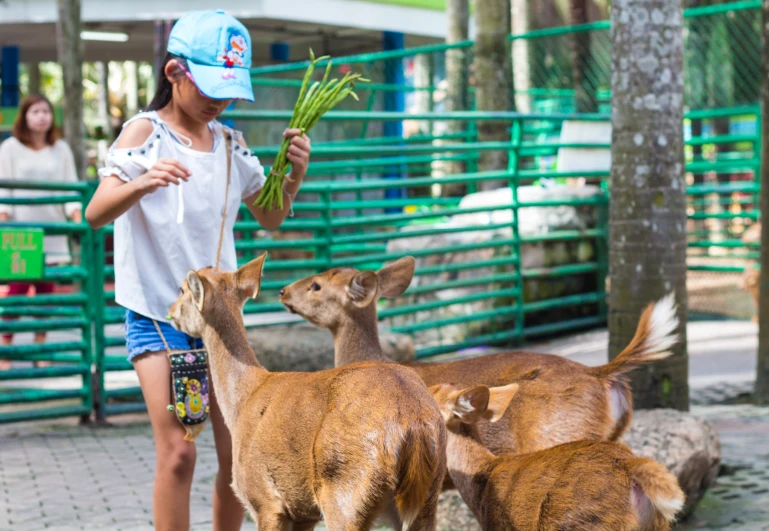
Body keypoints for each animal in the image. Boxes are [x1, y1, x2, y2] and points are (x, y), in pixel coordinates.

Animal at [166, 255, 444, 531]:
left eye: (182, 289)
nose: (169, 312)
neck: (243, 399)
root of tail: (414, 425)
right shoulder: (303, 511)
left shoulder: (264, 500)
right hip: (427, 498)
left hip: (343, 493)